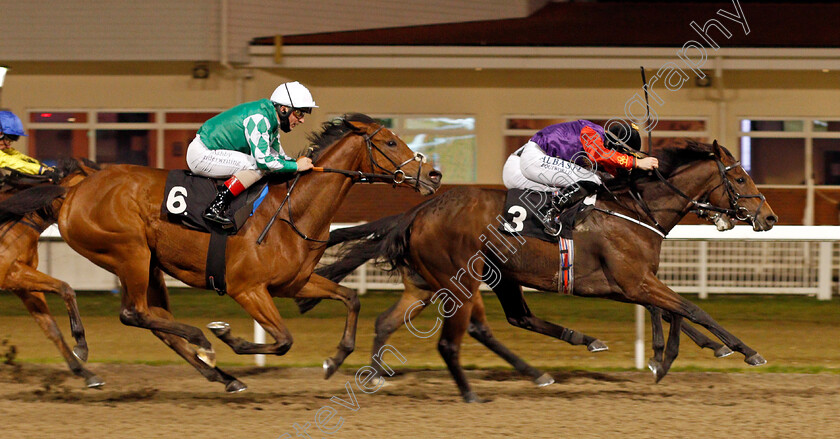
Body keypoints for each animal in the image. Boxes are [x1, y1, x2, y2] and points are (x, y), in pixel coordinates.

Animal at [0, 160, 105, 386]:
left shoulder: (21, 281)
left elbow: (51, 327)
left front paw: (85, 372)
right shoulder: (10, 274)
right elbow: (65, 288)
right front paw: (81, 345)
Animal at [41, 114, 440, 392]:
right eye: (390, 142)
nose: (433, 175)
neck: (292, 210)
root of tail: (79, 187)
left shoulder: (294, 283)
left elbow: (350, 298)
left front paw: (334, 359)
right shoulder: (246, 288)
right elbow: (283, 340)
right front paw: (225, 334)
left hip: (149, 265)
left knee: (155, 321)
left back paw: (223, 376)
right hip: (130, 252)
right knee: (134, 313)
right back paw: (201, 341)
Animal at [312, 141, 776, 402]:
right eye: (739, 177)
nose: (769, 217)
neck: (635, 211)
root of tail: (419, 210)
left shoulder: (626, 284)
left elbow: (672, 310)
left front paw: (672, 356)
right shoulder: (634, 280)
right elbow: (689, 308)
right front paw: (743, 350)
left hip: (438, 281)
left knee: (392, 320)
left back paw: (370, 376)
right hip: (461, 280)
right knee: (472, 330)